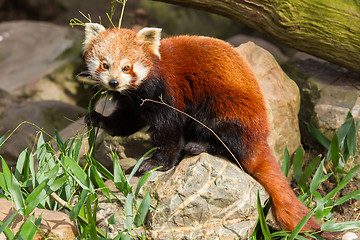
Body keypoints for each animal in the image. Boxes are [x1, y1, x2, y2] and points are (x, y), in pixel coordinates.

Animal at [83, 23, 324, 236]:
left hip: (225, 107)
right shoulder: (134, 103)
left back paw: (200, 145)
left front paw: (156, 163)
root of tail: (260, 133)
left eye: (126, 67)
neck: (140, 90)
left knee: (226, 138)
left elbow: (169, 130)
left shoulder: (167, 92)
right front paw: (100, 120)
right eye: (105, 65)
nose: (114, 82)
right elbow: (127, 120)